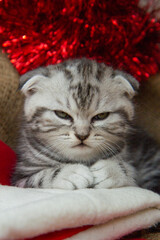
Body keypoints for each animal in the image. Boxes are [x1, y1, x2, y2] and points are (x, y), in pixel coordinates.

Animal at [11, 58, 160, 193]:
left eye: (101, 116)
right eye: (62, 114)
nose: (82, 135)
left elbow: (131, 173)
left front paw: (110, 171)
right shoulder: (20, 178)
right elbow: (39, 178)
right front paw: (70, 174)